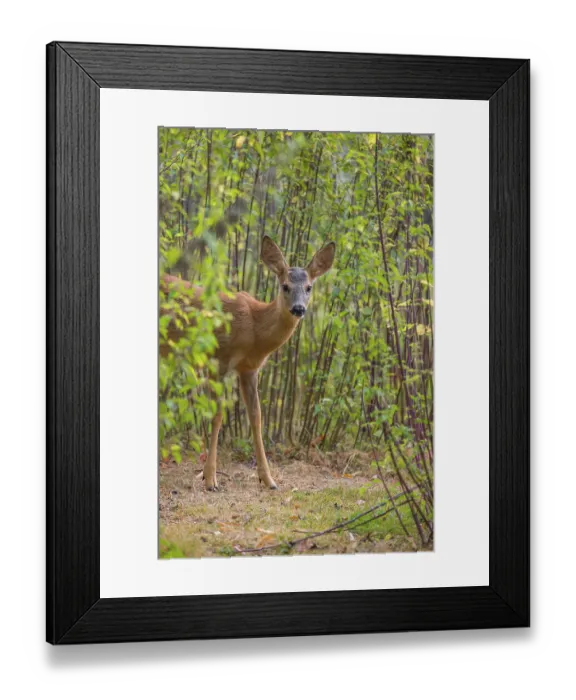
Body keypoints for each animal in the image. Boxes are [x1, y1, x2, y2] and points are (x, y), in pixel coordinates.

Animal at [161, 235, 336, 491]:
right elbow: (217, 415)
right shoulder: (218, 359)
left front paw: (269, 480)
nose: (298, 308)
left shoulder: (249, 369)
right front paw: (210, 478)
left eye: (309, 287)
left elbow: (256, 417)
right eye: (285, 286)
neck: (254, 327)